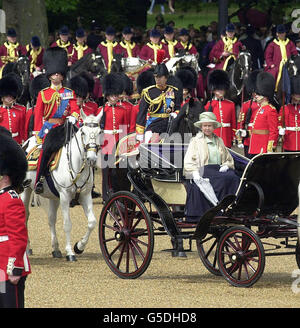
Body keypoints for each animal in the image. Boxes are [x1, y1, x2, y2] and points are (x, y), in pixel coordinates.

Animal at [20, 110, 102, 262]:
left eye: (100, 131)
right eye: (83, 132)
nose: (92, 158)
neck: (76, 164)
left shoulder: (85, 195)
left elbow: (92, 222)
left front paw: (79, 246)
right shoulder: (65, 196)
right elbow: (67, 224)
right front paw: (70, 252)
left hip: (53, 197)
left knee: (51, 219)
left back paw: (56, 249)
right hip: (25, 190)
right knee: (26, 216)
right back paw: (27, 248)